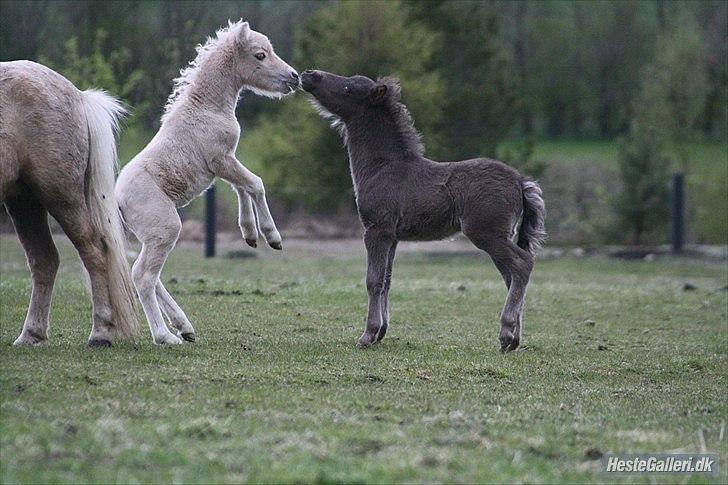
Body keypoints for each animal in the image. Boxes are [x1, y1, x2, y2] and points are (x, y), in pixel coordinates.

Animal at [0, 60, 137, 346]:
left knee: (94, 250)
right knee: (44, 259)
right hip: (24, 202)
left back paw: (100, 333)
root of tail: (79, 96)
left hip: (60, 197)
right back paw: (31, 334)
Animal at [116, 19, 298, 344]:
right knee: (144, 276)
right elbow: (256, 184)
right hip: (166, 229)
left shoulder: (225, 163)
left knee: (144, 273)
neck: (206, 108)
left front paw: (250, 234)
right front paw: (271, 236)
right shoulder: (220, 160)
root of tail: (116, 199)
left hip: (149, 236)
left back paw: (184, 327)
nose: (294, 77)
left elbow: (242, 187)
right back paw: (165, 336)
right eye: (260, 55)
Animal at [302, 69, 544, 352]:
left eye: (349, 88)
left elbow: (373, 280)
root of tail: (520, 181)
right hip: (499, 235)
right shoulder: (392, 236)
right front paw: (381, 332)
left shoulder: (376, 230)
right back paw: (515, 337)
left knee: (522, 264)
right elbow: (387, 280)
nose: (309, 75)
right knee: (511, 275)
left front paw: (368, 335)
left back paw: (507, 334)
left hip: (487, 233)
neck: (382, 166)